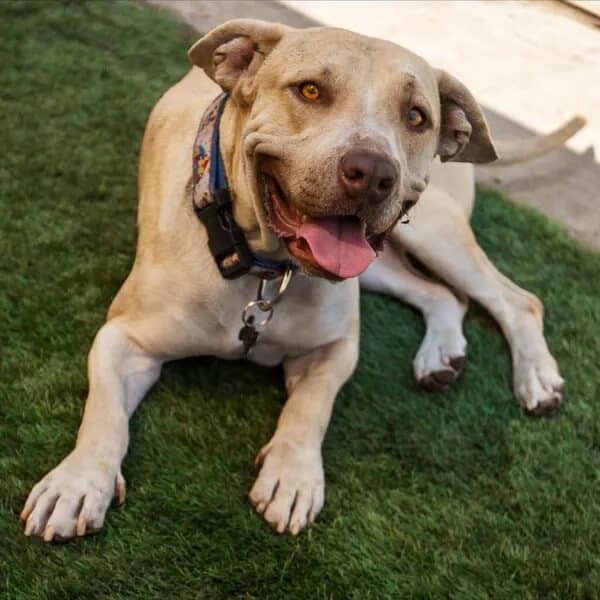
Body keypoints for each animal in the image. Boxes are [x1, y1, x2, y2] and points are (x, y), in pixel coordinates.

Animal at [21, 21, 584, 540]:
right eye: (310, 91)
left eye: (415, 117)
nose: (373, 172)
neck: (261, 266)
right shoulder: (124, 338)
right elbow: (104, 413)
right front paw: (77, 483)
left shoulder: (335, 346)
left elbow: (311, 409)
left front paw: (292, 476)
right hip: (383, 264)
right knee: (444, 294)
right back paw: (441, 354)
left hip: (429, 229)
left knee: (515, 298)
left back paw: (536, 378)